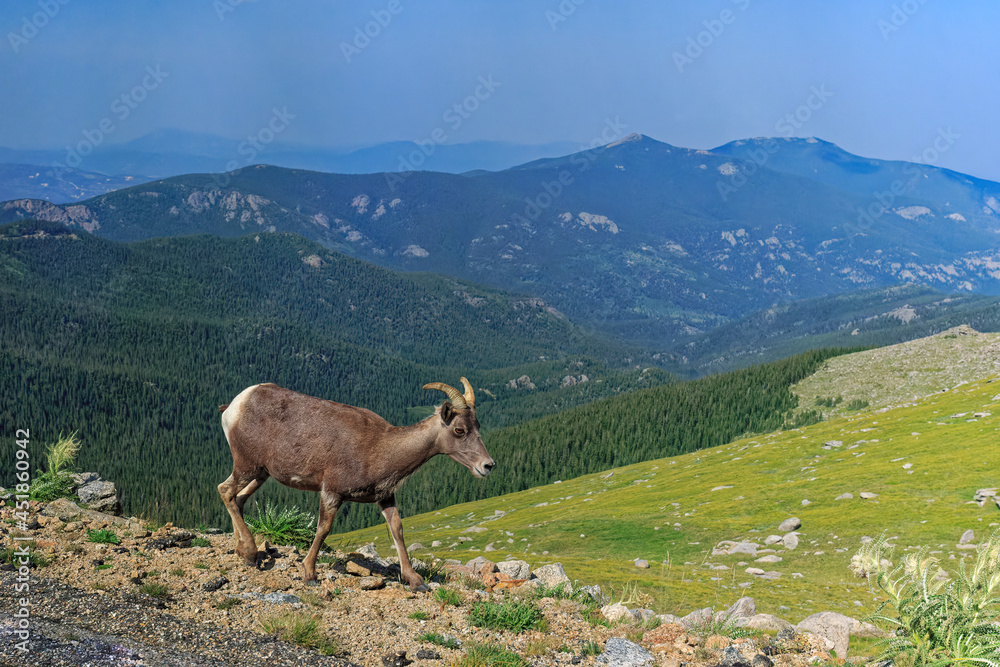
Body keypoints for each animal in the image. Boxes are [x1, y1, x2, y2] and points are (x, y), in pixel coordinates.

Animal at [217, 378, 494, 591]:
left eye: (478, 426)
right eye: (459, 430)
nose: (487, 466)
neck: (379, 448)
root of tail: (235, 406)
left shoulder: (385, 497)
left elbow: (397, 529)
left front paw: (416, 581)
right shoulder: (332, 492)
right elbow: (323, 528)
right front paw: (309, 574)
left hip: (261, 473)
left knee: (238, 499)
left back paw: (241, 550)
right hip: (246, 465)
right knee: (225, 490)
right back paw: (250, 554)